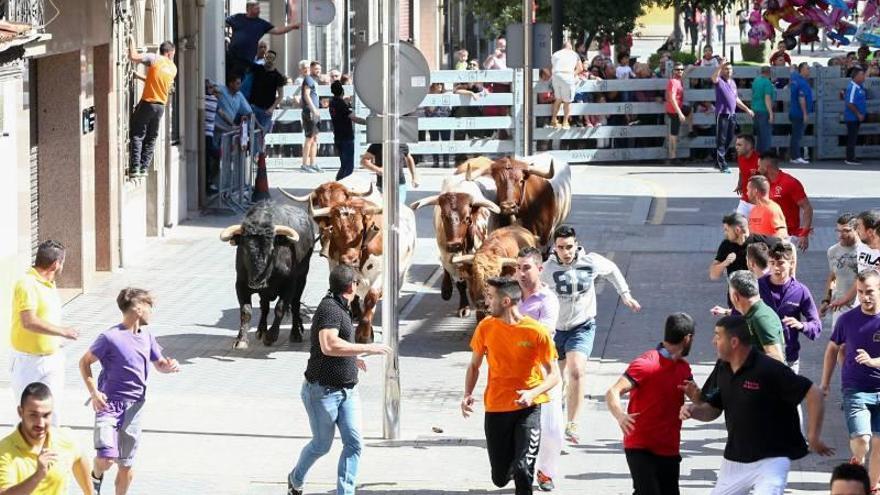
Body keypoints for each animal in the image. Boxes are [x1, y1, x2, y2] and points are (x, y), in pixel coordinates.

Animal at [220, 201, 316, 348]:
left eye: (272, 249)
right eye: (244, 249)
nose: (257, 282)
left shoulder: (290, 284)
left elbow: (280, 308)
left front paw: (271, 336)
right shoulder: (241, 284)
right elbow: (246, 311)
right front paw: (241, 339)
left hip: (302, 278)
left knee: (295, 304)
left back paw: (295, 333)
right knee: (264, 306)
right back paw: (261, 330)